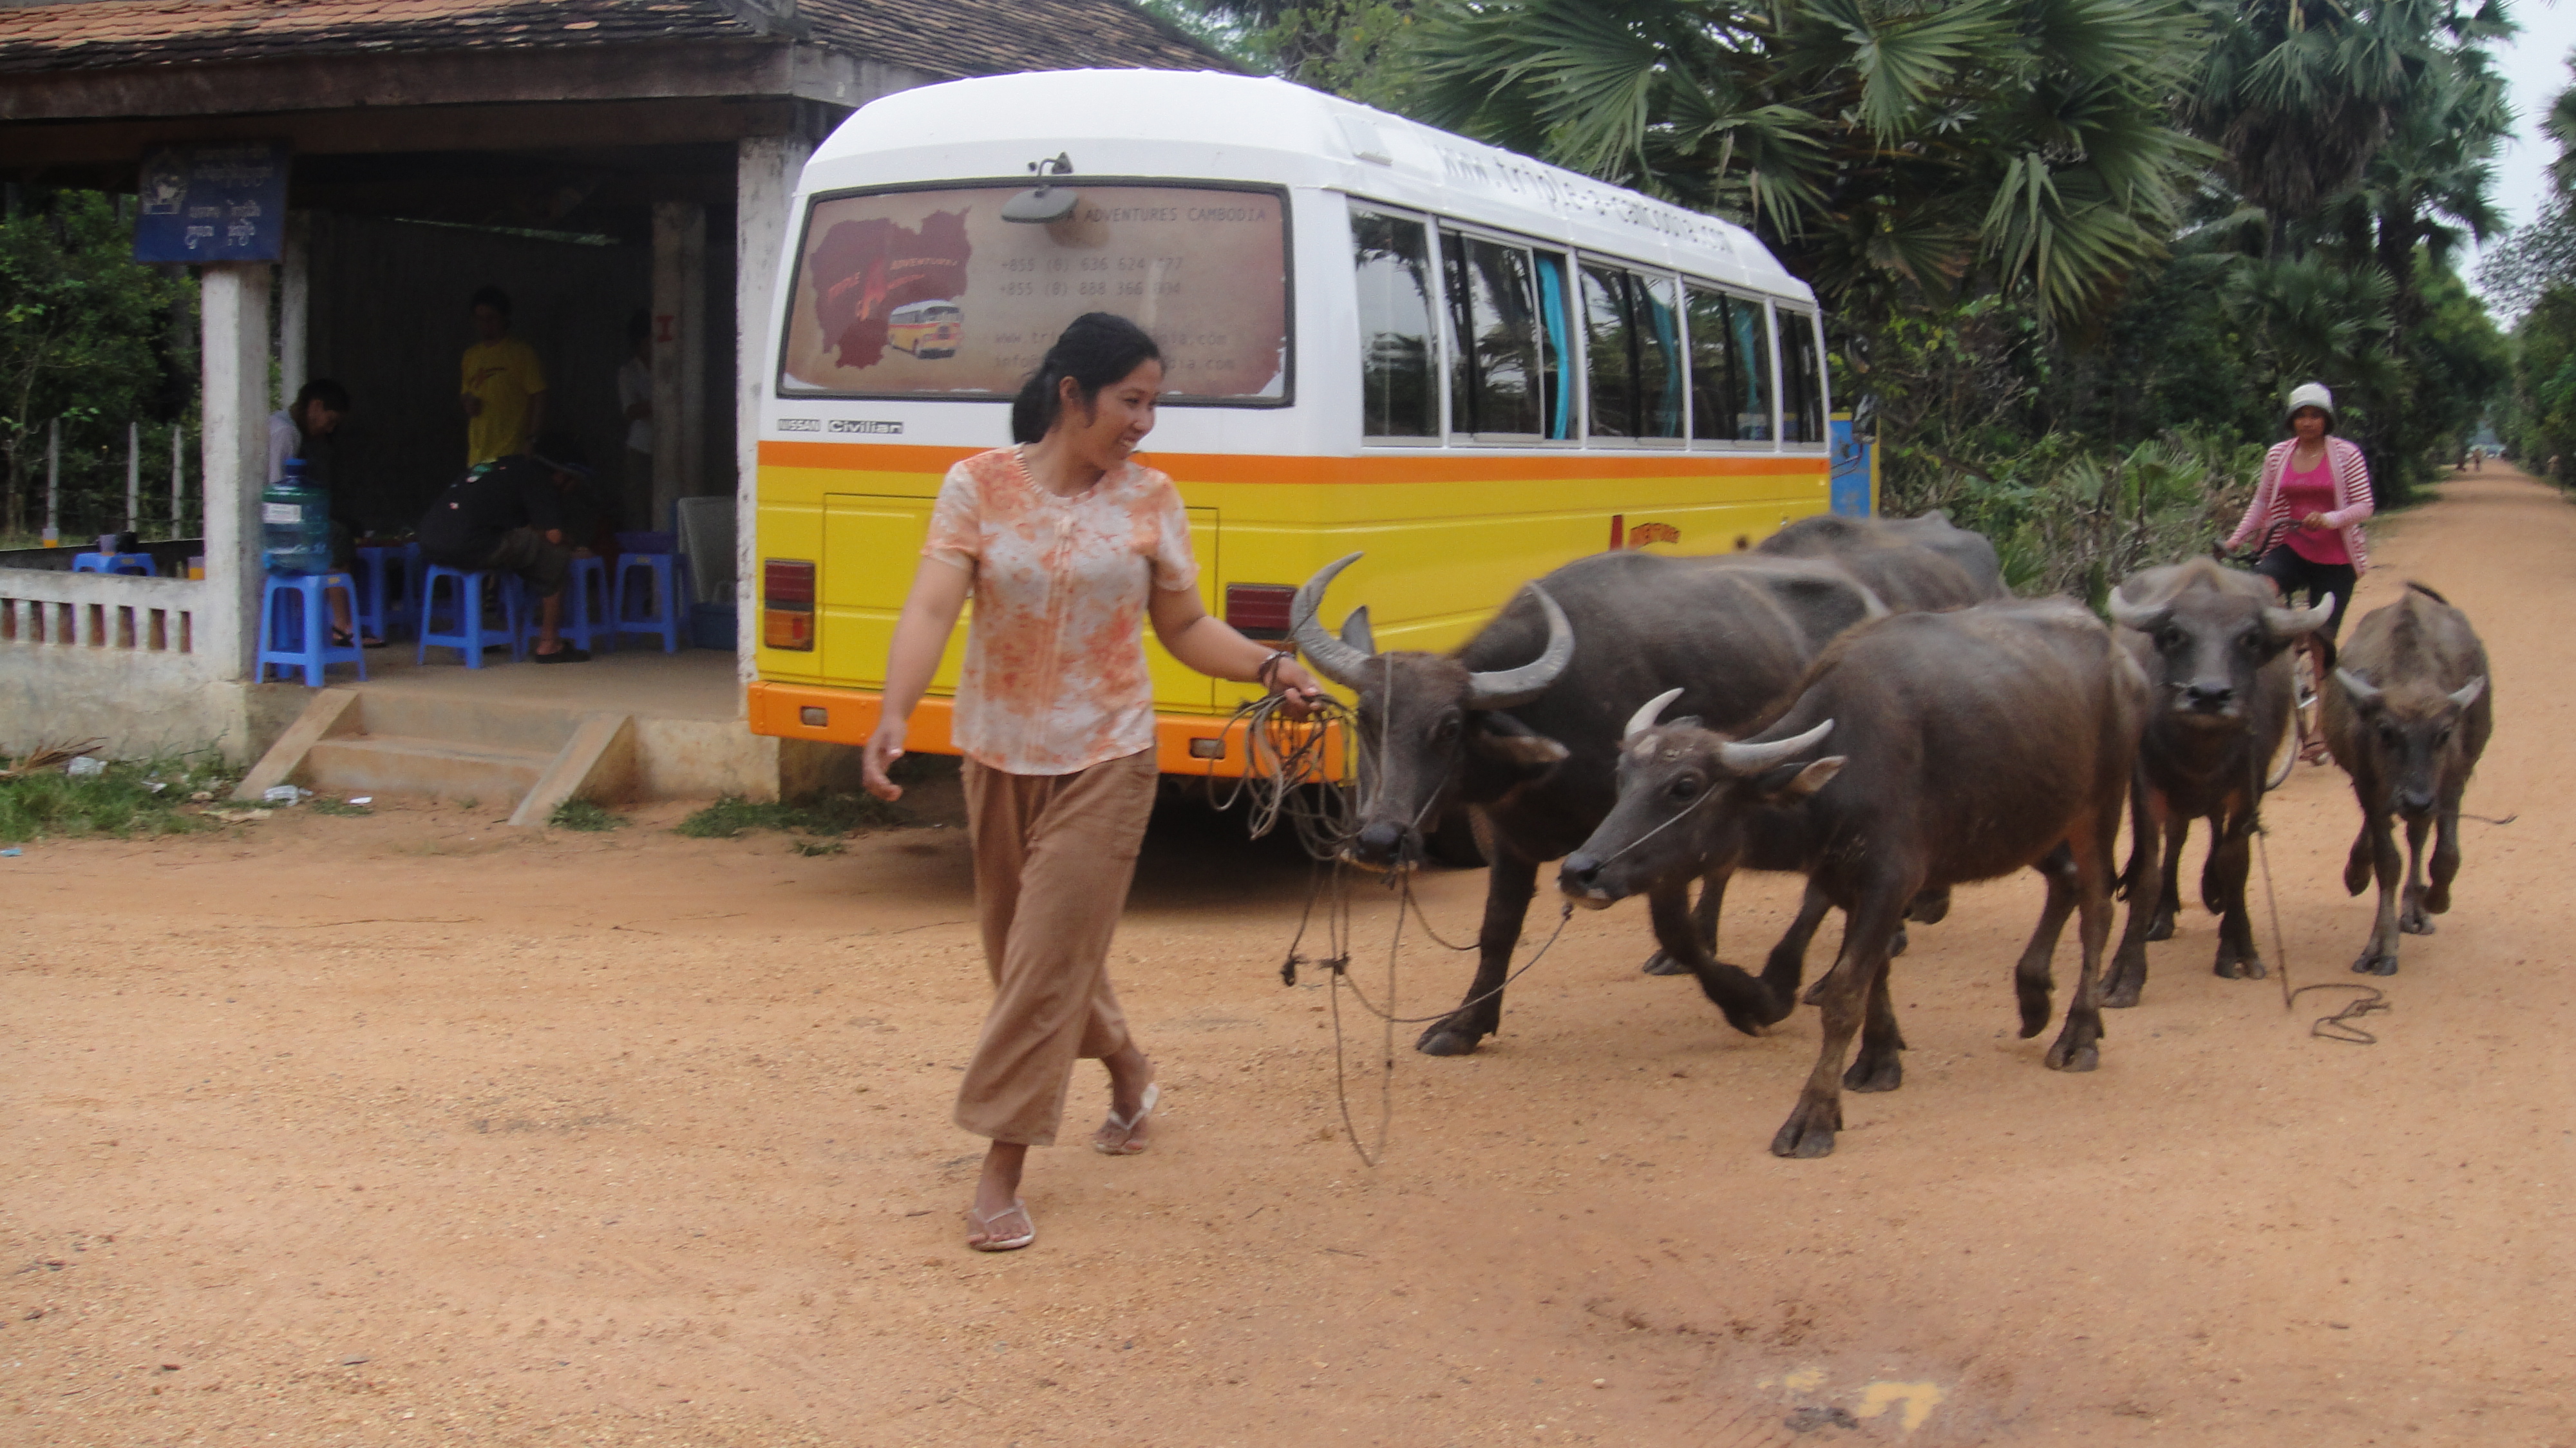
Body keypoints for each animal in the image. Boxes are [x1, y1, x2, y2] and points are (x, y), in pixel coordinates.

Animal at [1289, 548, 1893, 1053]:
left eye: (1449, 726)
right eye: (1367, 717)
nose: (1379, 841)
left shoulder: (1650, 839)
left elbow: (1673, 927)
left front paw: (1753, 1002)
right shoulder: (1510, 841)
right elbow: (1497, 930)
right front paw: (1464, 1025)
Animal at [1556, 599, 2152, 1157]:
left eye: (1685, 786)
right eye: (1623, 777)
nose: (1578, 871)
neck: (1840, 777)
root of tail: (2118, 658)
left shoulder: (1891, 882)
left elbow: (1844, 995)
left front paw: (1813, 1116)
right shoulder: (1846, 881)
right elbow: (1876, 974)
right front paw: (1879, 1058)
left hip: (2100, 807)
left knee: (2098, 910)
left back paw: (2079, 1034)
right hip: (2032, 821)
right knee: (2066, 881)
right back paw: (2033, 999)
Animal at [2099, 559, 2336, 1004]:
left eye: (2251, 638)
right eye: (2175, 635)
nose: (2209, 695)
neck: (2201, 751)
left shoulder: (2248, 788)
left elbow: (2235, 863)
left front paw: (2238, 952)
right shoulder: (2147, 788)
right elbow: (2147, 872)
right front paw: (2124, 975)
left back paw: (2214, 895)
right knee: (2176, 841)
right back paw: (2163, 916)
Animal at [2320, 583, 2492, 976]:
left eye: (2444, 734)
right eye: (2385, 732)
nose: (2415, 799)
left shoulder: (2451, 784)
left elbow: (2446, 855)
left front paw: (2436, 898)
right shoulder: (2370, 788)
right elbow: (2389, 863)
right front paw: (2380, 950)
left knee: (2419, 835)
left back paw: (2416, 909)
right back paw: (2359, 872)